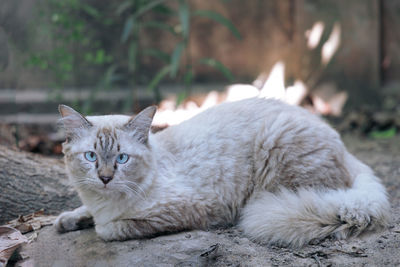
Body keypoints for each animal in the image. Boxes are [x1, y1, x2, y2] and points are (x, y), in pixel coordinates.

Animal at [54, 98, 390, 249]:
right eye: (91, 157)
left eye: (122, 158)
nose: (105, 178)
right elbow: (82, 212)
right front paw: (67, 220)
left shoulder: (192, 208)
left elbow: (110, 228)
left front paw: (97, 224)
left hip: (276, 151)